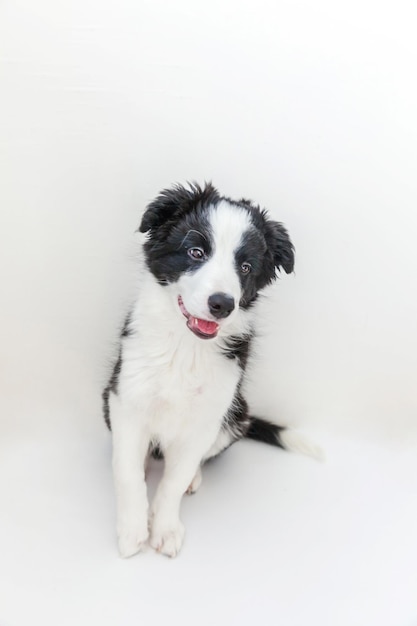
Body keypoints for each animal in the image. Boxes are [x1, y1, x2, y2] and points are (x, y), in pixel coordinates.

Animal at [102, 180, 300, 556]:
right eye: (196, 252)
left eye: (246, 267)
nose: (222, 304)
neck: (185, 347)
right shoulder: (126, 399)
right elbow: (127, 472)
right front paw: (132, 530)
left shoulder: (207, 417)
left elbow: (173, 481)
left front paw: (164, 529)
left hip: (237, 416)